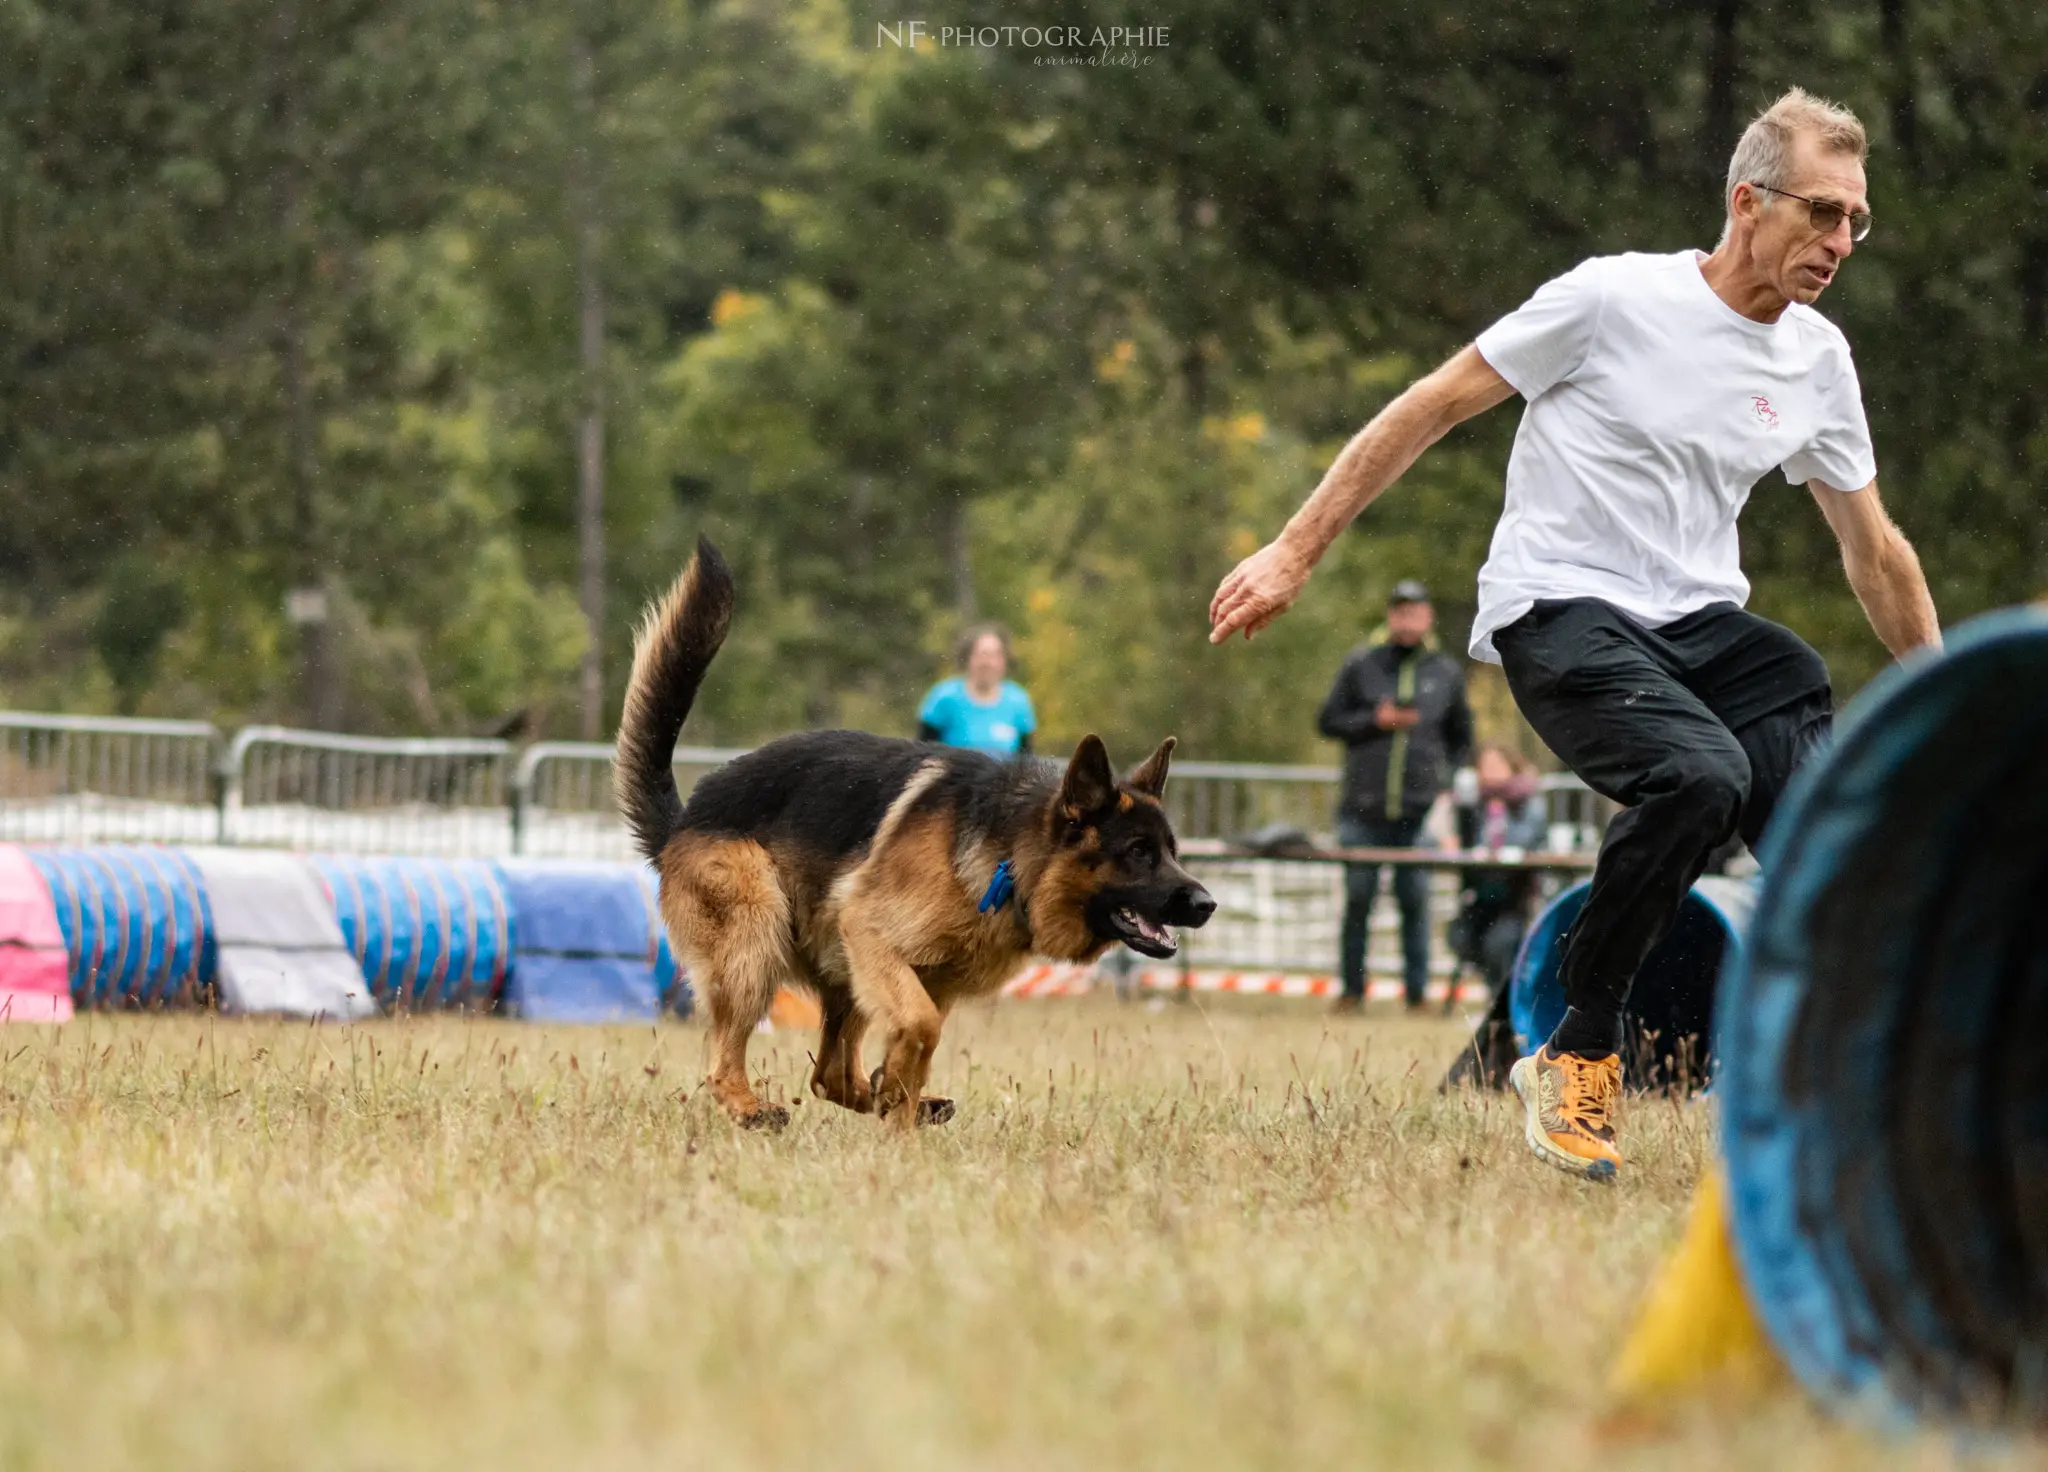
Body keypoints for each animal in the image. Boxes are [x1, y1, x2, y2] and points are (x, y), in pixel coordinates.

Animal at [614, 536, 1204, 1130]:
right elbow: (921, 1026)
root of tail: (683, 820)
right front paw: (896, 1093)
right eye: (1138, 851)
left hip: (839, 970)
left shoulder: (927, 977)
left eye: (1172, 851)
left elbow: (919, 1035)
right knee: (728, 1057)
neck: (1008, 856)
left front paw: (898, 1102)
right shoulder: (873, 936)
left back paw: (899, 1101)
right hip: (757, 936)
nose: (1207, 904)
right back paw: (750, 1106)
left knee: (829, 1076)